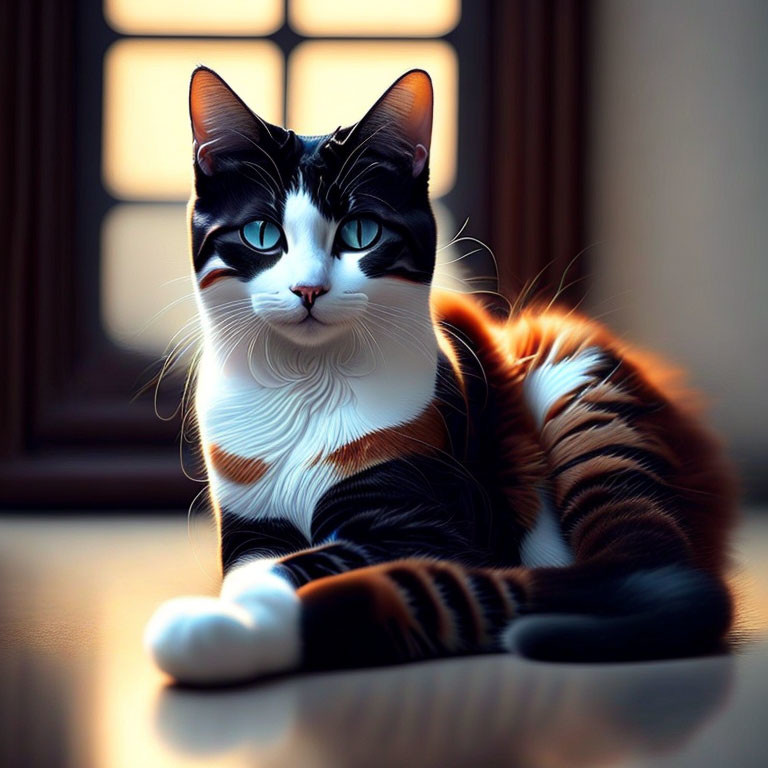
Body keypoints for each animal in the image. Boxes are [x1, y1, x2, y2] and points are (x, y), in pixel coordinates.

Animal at [141, 67, 736, 684]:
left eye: (360, 233)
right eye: (261, 234)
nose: (308, 289)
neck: (304, 385)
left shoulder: (428, 524)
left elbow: (302, 567)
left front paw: (222, 627)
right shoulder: (250, 527)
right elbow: (252, 567)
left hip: (572, 382)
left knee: (637, 565)